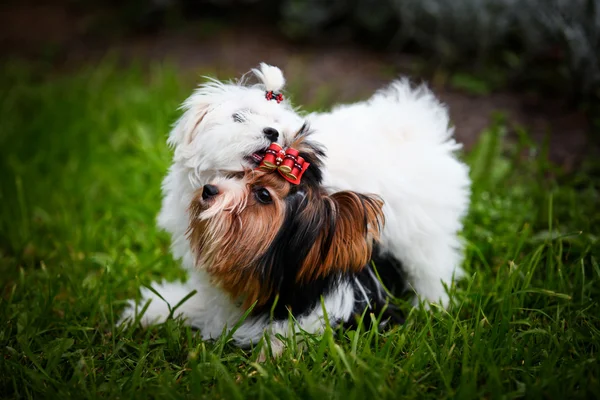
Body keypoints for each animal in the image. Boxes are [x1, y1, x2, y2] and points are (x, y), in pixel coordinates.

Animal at [119, 63, 472, 356]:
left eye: (277, 125)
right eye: (239, 117)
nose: (272, 133)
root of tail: (414, 126)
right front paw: (159, 310)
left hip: (421, 234)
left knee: (433, 266)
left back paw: (434, 307)